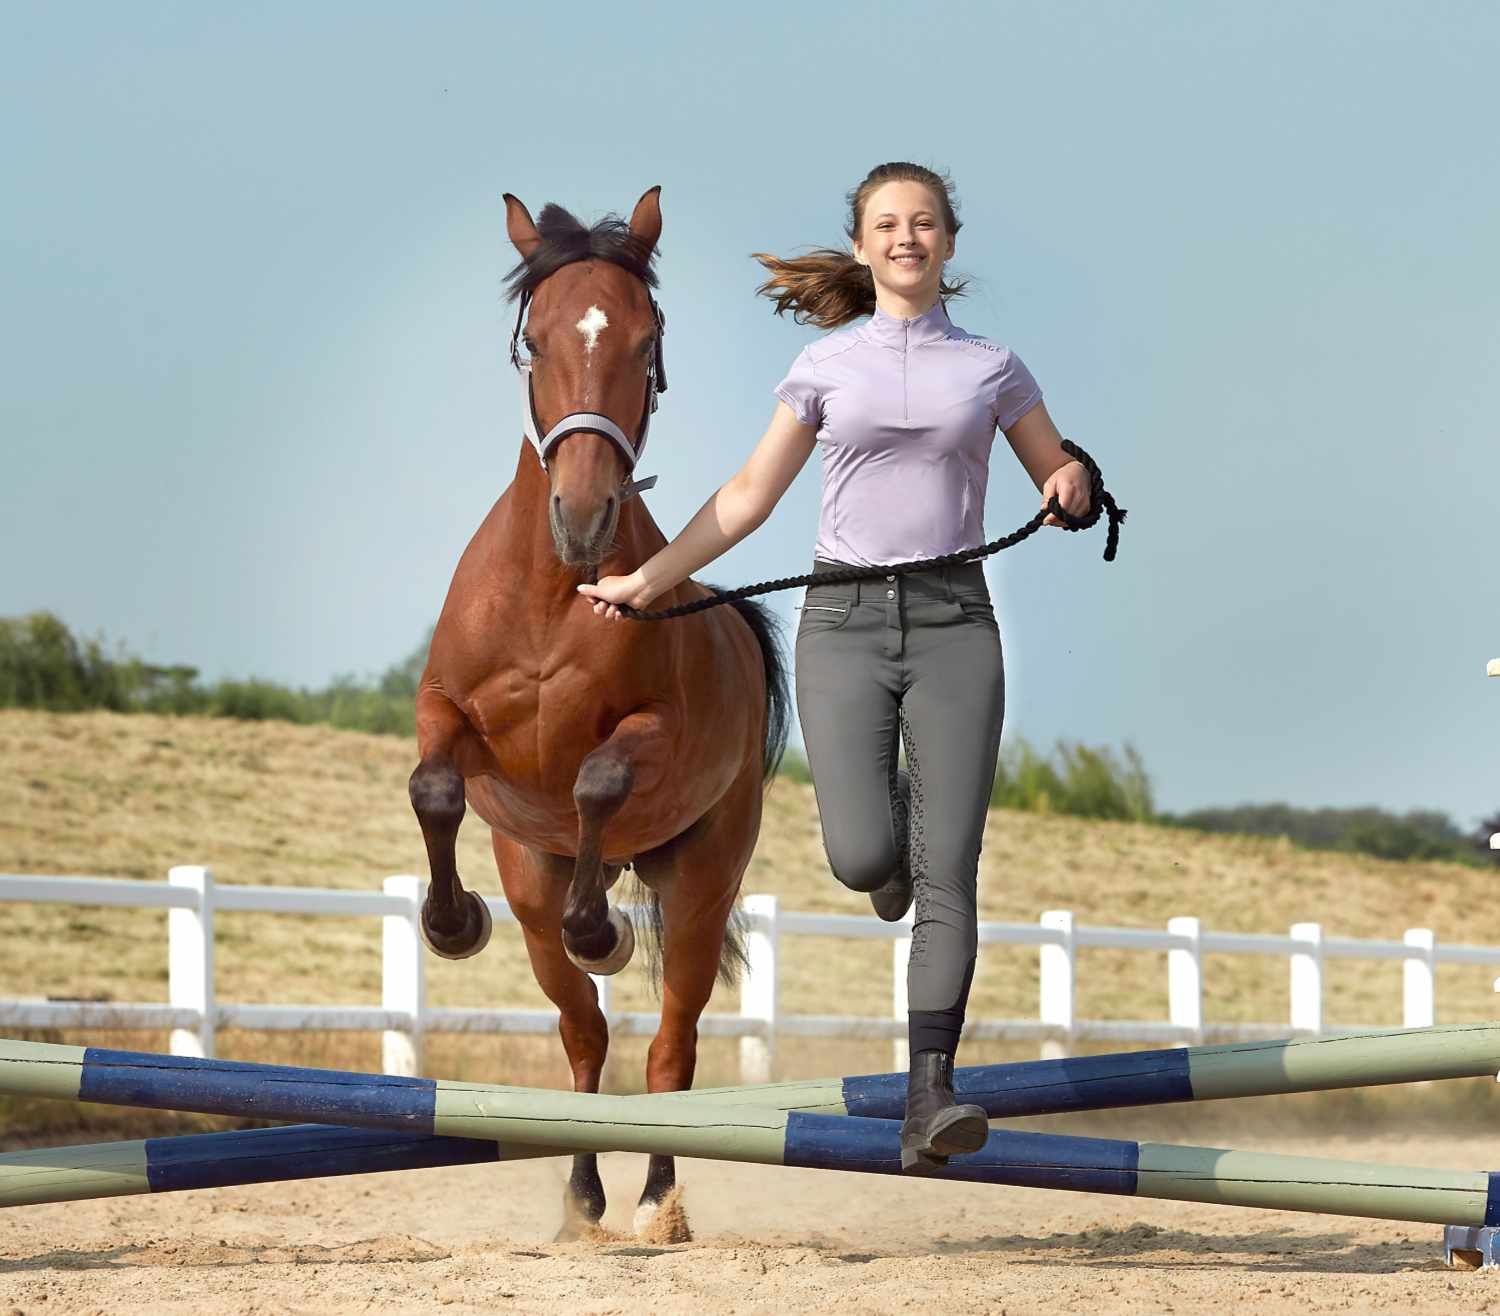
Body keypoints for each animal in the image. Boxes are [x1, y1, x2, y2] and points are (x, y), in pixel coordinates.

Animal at [409, 186, 790, 1237]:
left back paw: (659, 1199)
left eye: (645, 339)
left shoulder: (651, 734)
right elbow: (434, 788)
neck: (553, 594)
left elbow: (598, 777)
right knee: (582, 1033)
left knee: (669, 1048)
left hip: (701, 886)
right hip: (533, 883)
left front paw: (602, 930)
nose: (581, 519)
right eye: (532, 341)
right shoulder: (447, 716)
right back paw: (583, 1199)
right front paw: (451, 923)